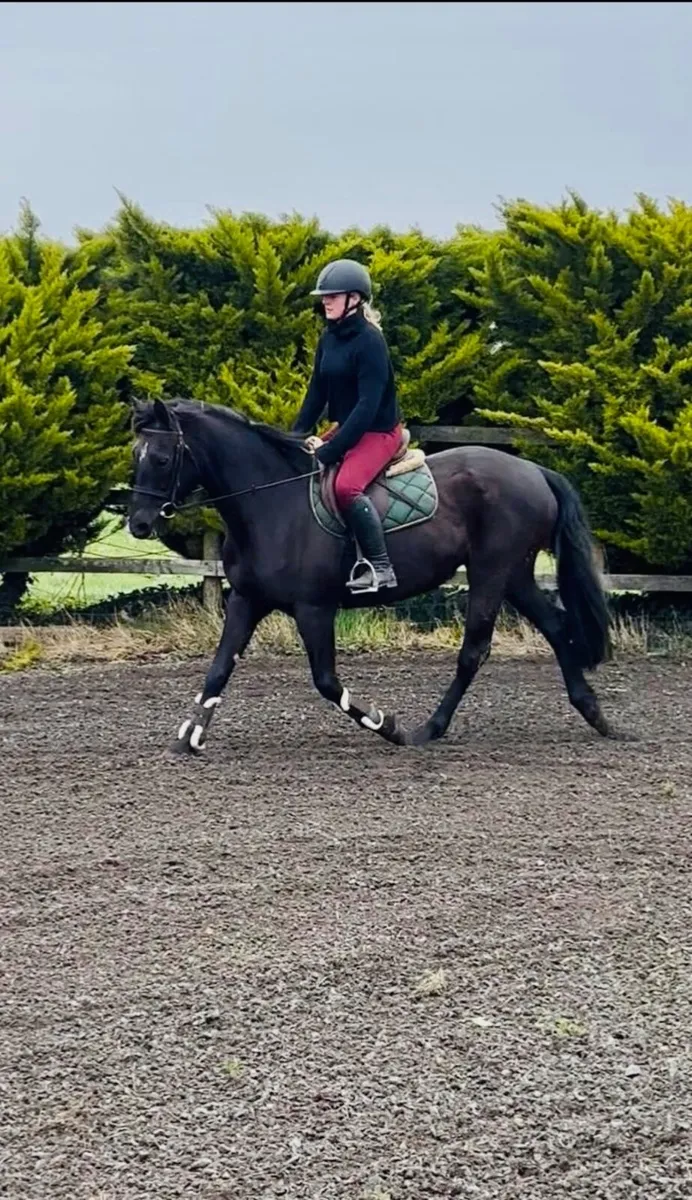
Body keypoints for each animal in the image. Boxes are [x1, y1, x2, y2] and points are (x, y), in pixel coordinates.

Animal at [127, 397, 614, 754]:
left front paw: (387, 725)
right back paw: (594, 713)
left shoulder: (314, 609)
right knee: (556, 627)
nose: (138, 524)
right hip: (514, 575)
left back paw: (428, 729)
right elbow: (218, 668)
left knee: (474, 651)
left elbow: (327, 682)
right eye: (136, 455)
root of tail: (535, 470)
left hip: (491, 573)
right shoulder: (247, 601)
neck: (271, 504)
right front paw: (188, 737)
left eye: (163, 458)